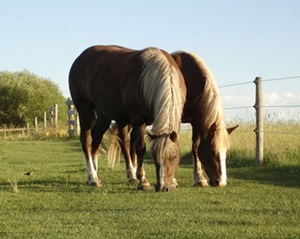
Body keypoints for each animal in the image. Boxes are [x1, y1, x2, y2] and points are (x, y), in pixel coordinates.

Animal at [68, 44, 185, 191]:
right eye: (155, 157)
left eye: (174, 156)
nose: (163, 187)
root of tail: (79, 59)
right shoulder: (138, 120)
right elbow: (139, 148)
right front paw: (142, 180)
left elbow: (133, 147)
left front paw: (172, 181)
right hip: (85, 110)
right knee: (87, 140)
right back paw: (93, 177)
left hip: (105, 115)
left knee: (98, 137)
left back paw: (95, 173)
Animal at [108, 51, 239, 187]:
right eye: (212, 150)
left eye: (226, 151)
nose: (221, 182)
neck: (191, 77)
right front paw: (174, 179)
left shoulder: (197, 122)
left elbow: (195, 147)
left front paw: (199, 178)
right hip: (125, 120)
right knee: (125, 143)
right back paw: (131, 175)